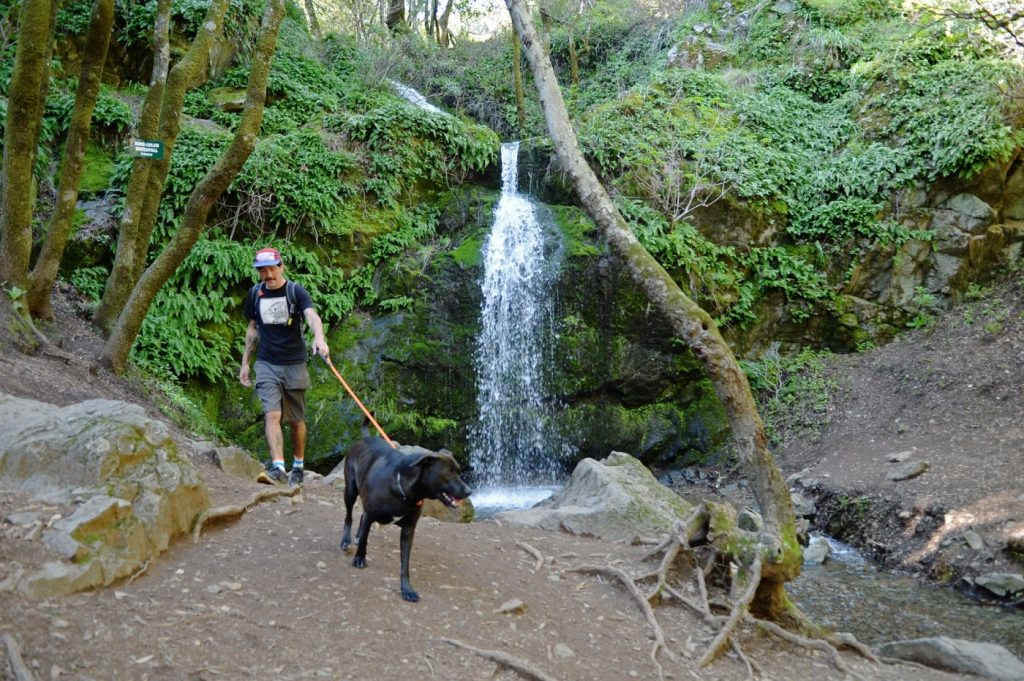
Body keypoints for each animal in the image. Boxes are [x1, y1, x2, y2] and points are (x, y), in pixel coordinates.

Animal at [342, 436, 473, 602]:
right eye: (448, 474)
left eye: (459, 472)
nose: (470, 491)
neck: (404, 491)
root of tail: (365, 438)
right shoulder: (371, 513)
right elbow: (365, 539)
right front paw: (359, 559)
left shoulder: (408, 530)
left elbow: (405, 563)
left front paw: (407, 589)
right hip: (350, 491)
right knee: (349, 517)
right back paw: (346, 540)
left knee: (361, 517)